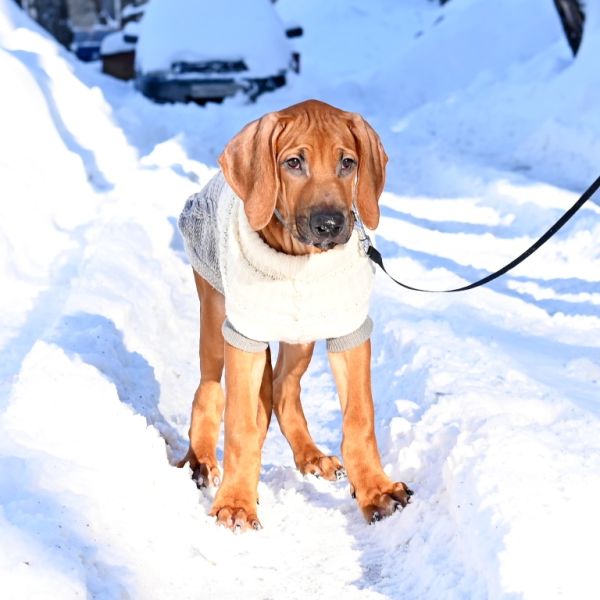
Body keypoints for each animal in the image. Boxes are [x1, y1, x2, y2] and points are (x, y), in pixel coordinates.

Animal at [178, 99, 412, 530]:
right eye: (293, 163)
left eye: (347, 163)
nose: (330, 224)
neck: (300, 261)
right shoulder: (244, 338)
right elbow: (240, 425)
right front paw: (236, 502)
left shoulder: (350, 332)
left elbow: (360, 419)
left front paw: (376, 490)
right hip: (216, 317)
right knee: (209, 390)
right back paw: (202, 462)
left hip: (300, 336)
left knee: (284, 388)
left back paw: (311, 457)